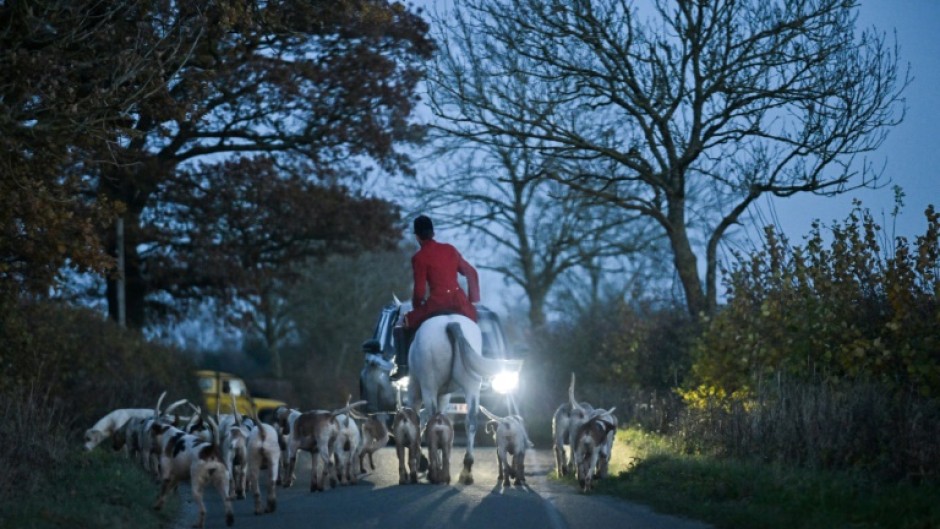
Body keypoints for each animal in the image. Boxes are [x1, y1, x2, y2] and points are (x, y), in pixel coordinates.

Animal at [404, 308, 520, 484]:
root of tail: (450, 323)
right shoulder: (443, 396)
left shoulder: (416, 392)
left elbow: (417, 421)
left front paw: (424, 461)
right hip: (471, 385)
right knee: (470, 421)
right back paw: (466, 469)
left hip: (429, 386)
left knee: (433, 422)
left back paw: (435, 470)